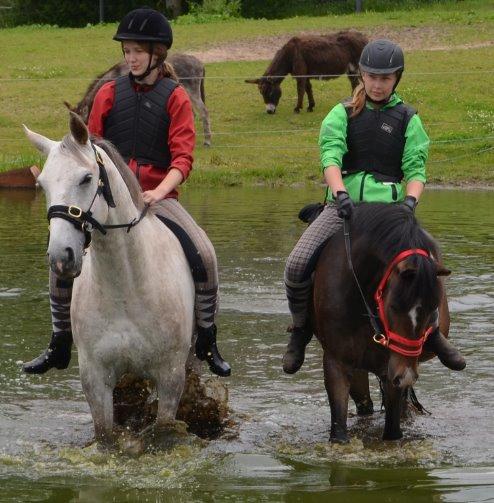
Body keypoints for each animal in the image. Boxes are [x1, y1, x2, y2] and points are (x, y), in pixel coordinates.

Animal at [23, 113, 195, 444]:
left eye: (86, 179)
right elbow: (106, 435)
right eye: (42, 184)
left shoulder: (170, 377)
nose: (61, 257)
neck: (126, 289)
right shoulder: (95, 378)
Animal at [312, 203, 452, 442]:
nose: (406, 377)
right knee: (364, 404)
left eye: (434, 308)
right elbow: (338, 427)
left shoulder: (392, 368)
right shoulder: (336, 360)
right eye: (394, 306)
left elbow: (393, 429)